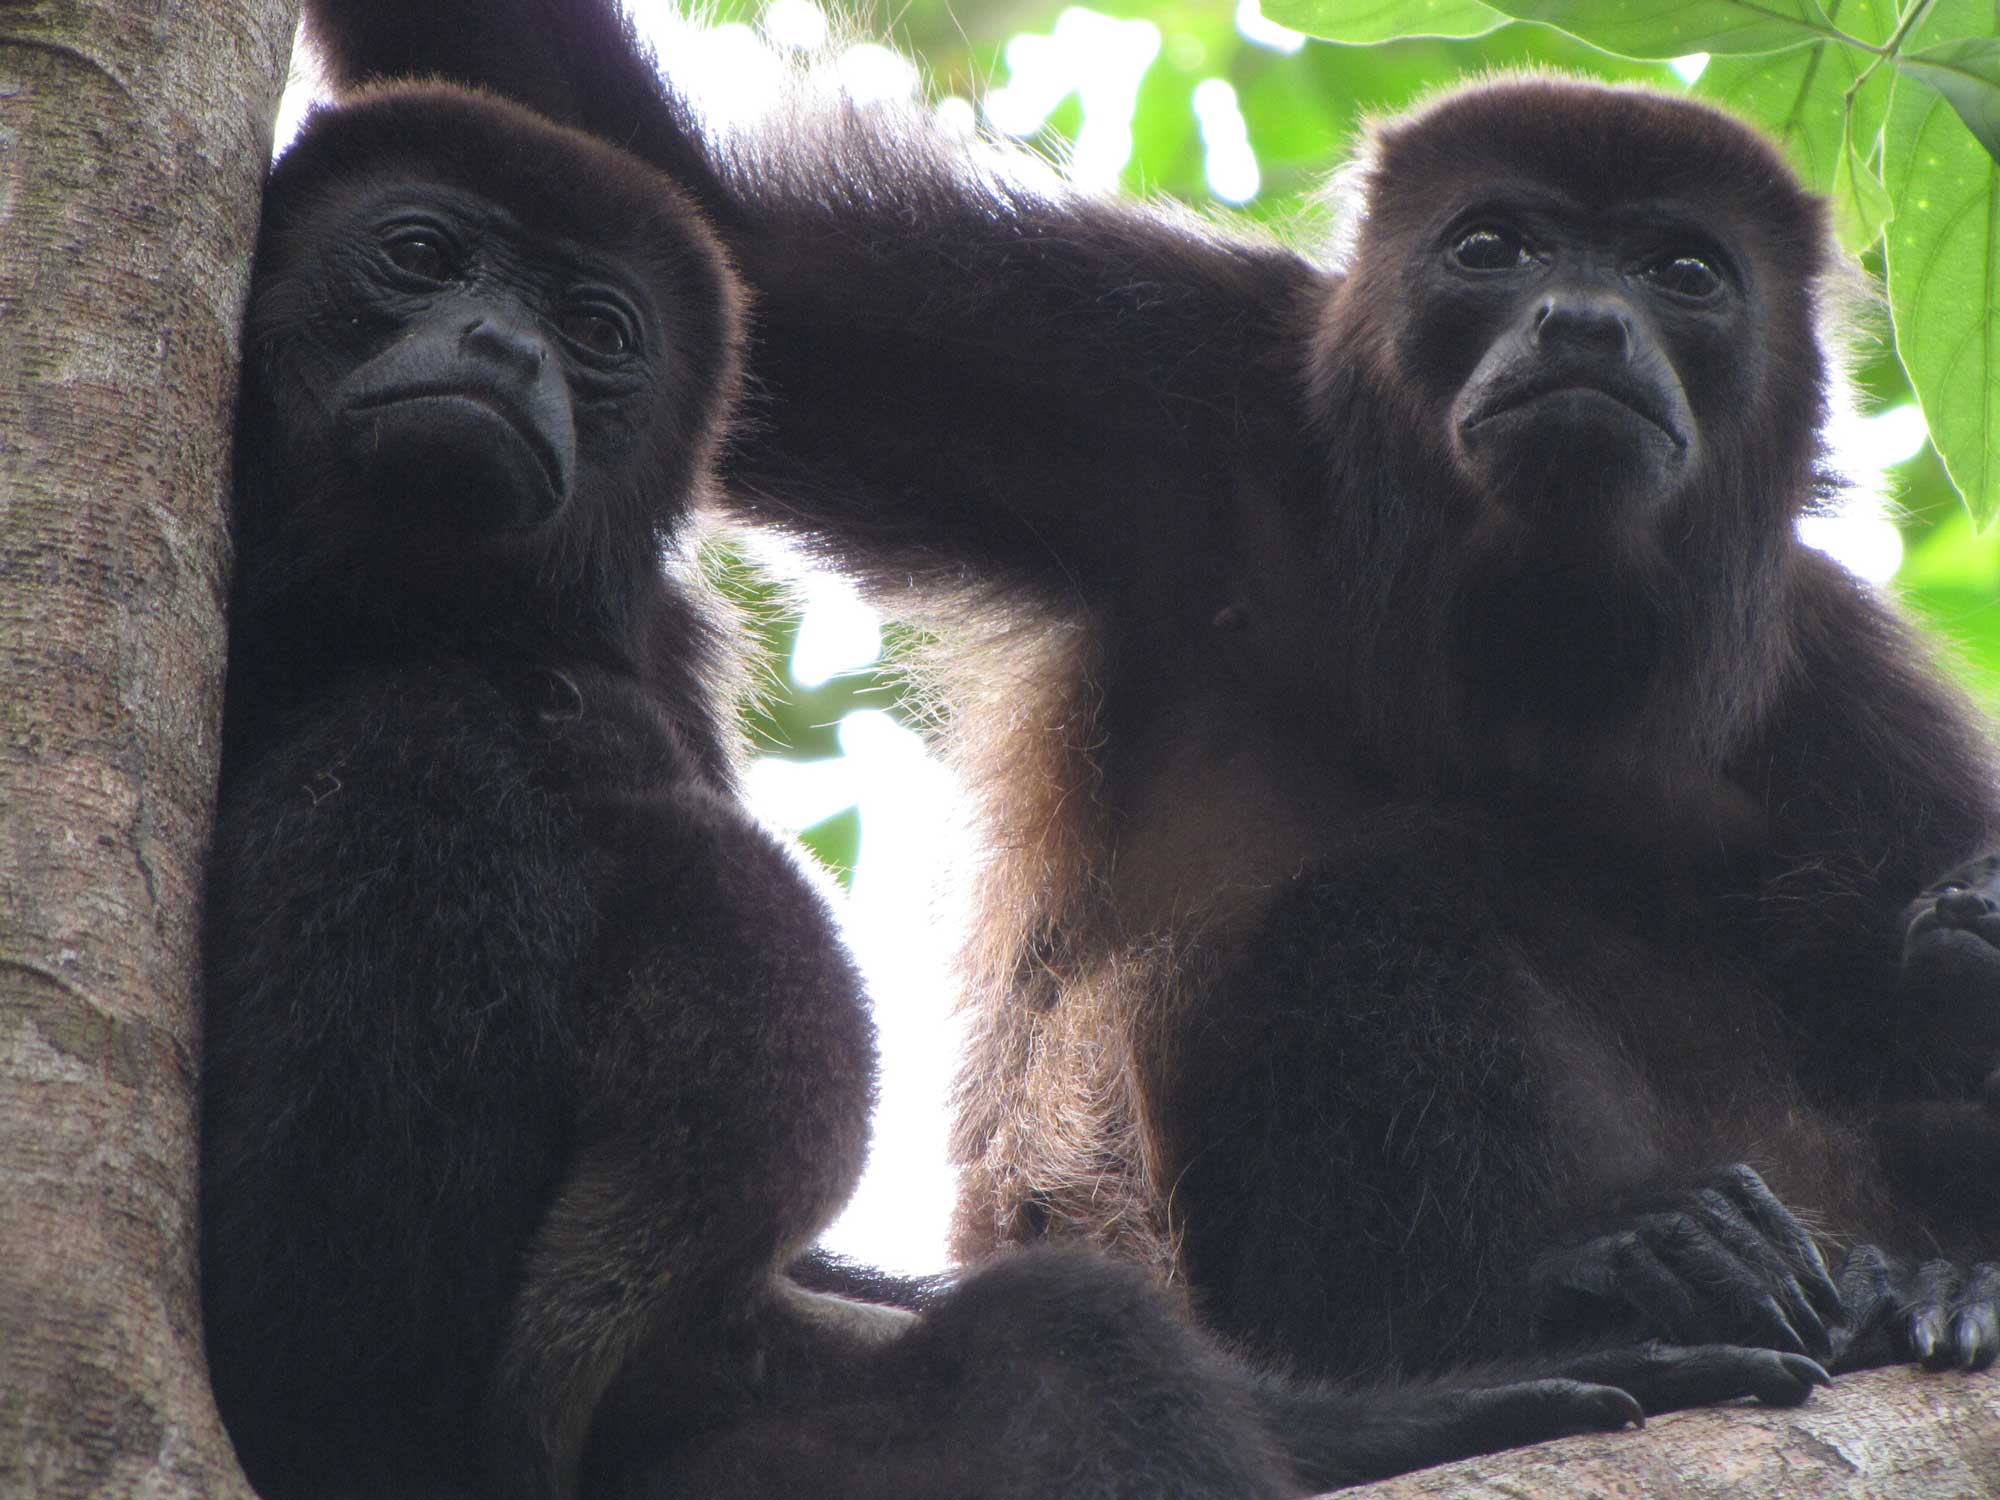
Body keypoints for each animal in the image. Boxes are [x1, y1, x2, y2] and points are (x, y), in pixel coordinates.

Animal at [294, 0, 2000, 1388]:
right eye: (1496, 249)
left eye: (1683, 271)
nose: (1585, 321)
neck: (1515, 643)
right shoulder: (1164, 393)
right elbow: (728, 241)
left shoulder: (1835, 689)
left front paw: (1960, 1005)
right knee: (1348, 933)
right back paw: (1612, 1276)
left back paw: (1910, 1286)